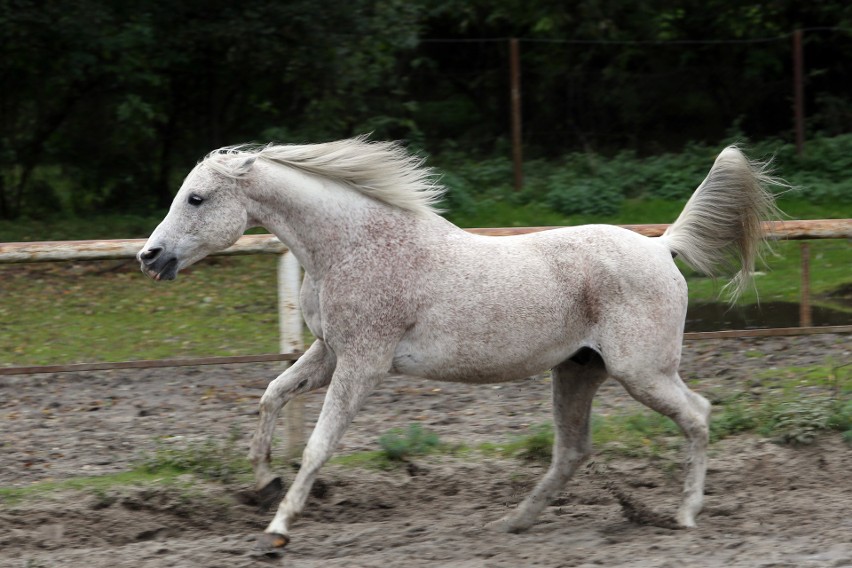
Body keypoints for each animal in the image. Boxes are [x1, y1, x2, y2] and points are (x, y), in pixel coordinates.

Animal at [136, 135, 784, 552]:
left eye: (196, 198)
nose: (149, 256)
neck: (350, 246)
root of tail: (660, 246)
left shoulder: (363, 363)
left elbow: (319, 444)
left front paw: (277, 530)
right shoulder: (329, 353)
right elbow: (271, 395)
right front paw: (262, 481)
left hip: (641, 373)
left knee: (698, 415)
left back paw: (685, 514)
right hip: (578, 370)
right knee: (573, 450)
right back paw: (514, 523)